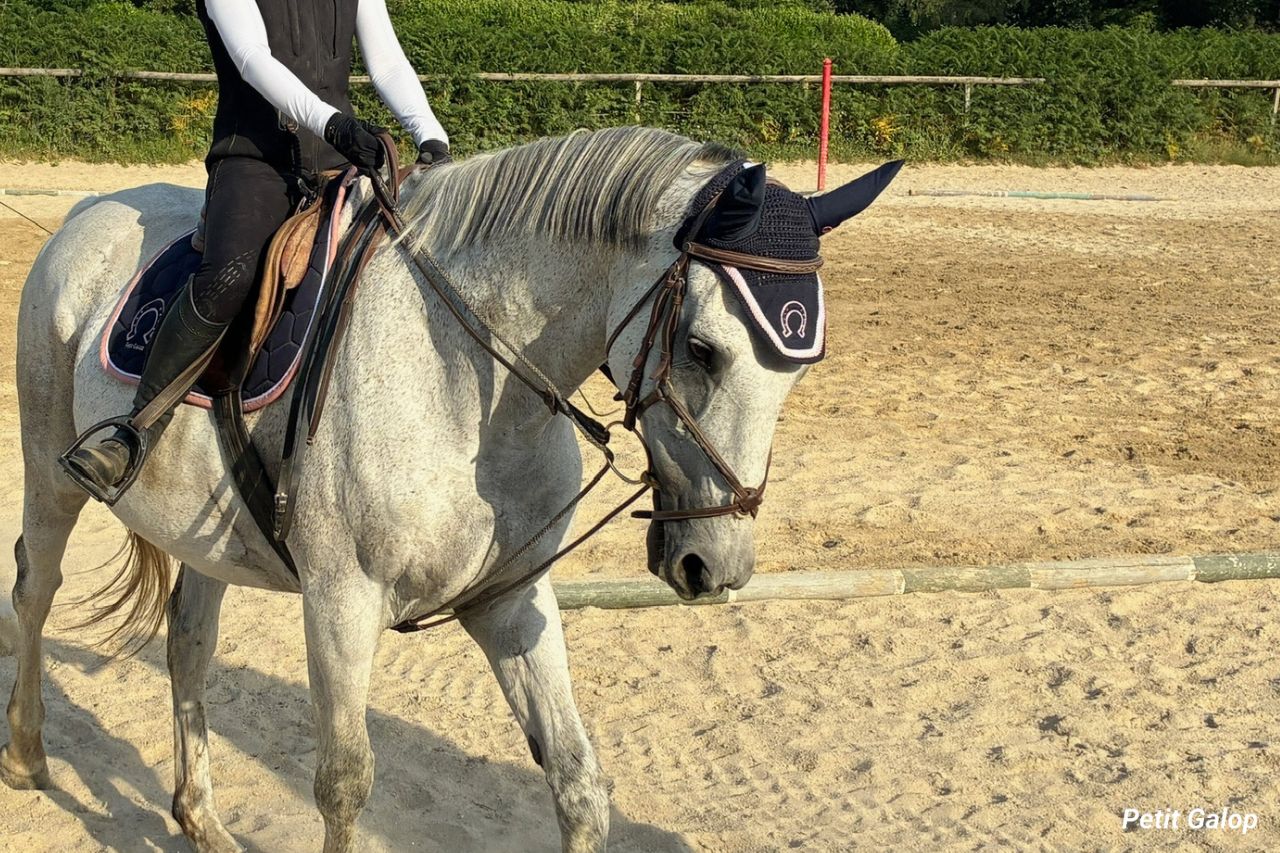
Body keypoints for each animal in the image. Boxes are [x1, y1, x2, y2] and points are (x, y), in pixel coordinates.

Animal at [1, 126, 890, 852]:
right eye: (703, 349)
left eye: (800, 368)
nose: (716, 563)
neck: (469, 382)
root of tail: (87, 214)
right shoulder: (339, 601)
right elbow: (344, 783)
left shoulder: (511, 600)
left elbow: (577, 780)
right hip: (51, 476)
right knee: (34, 592)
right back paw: (27, 753)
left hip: (202, 535)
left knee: (187, 640)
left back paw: (201, 819)